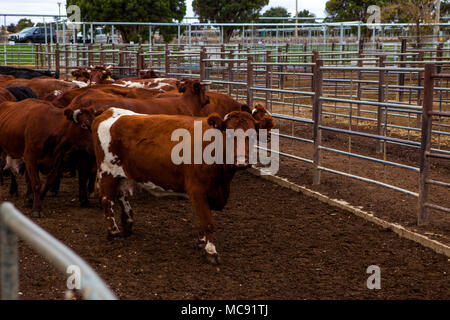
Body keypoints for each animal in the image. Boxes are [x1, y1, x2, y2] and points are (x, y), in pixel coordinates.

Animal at [91, 107, 274, 262]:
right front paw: (211, 251)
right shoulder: (197, 189)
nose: (241, 162)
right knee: (107, 200)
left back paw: (128, 223)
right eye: (228, 135)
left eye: (253, 135)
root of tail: (108, 111)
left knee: (122, 196)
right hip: (107, 171)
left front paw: (201, 242)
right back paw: (114, 231)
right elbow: (208, 222)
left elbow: (203, 220)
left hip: (123, 173)